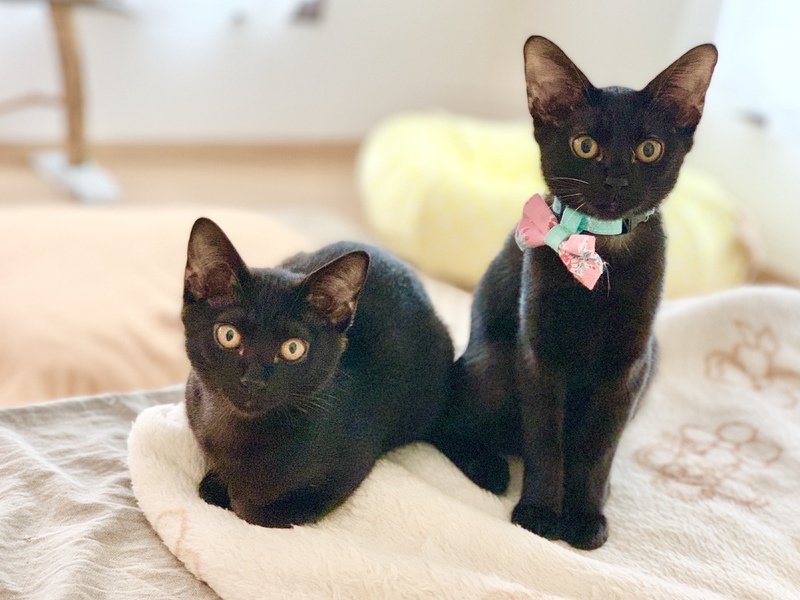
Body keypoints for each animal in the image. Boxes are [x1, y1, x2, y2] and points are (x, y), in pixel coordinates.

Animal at [182, 218, 454, 528]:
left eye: (293, 348)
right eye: (228, 335)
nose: (253, 380)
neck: (235, 432)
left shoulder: (348, 470)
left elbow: (251, 509)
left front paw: (237, 496)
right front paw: (217, 486)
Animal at [433, 36, 717, 549]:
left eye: (649, 149)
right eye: (584, 145)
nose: (616, 180)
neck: (601, 250)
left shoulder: (629, 365)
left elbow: (597, 448)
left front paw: (585, 515)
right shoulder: (538, 352)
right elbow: (546, 440)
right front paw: (540, 513)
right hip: (494, 360)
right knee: (446, 420)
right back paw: (489, 468)